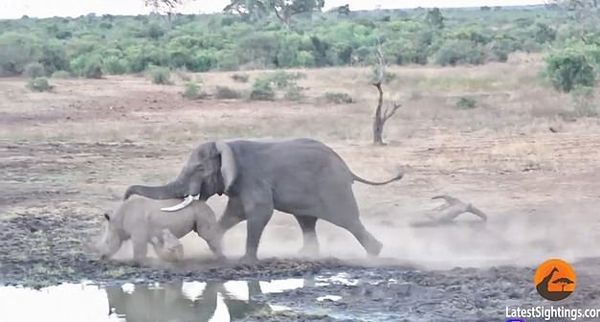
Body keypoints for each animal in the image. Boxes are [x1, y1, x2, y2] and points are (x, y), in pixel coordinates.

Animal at [95, 196, 223, 262]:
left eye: (107, 241)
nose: (102, 257)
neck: (118, 219)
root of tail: (207, 205)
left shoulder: (138, 231)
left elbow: (139, 249)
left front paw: (137, 261)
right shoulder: (152, 233)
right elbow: (158, 247)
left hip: (202, 212)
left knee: (206, 235)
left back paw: (219, 257)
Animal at [123, 138, 400, 262]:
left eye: (199, 169)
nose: (125, 194)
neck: (227, 146)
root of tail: (347, 169)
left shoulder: (252, 179)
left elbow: (259, 212)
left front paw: (246, 260)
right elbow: (234, 214)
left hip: (334, 189)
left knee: (349, 221)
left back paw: (376, 253)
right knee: (306, 221)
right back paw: (306, 254)